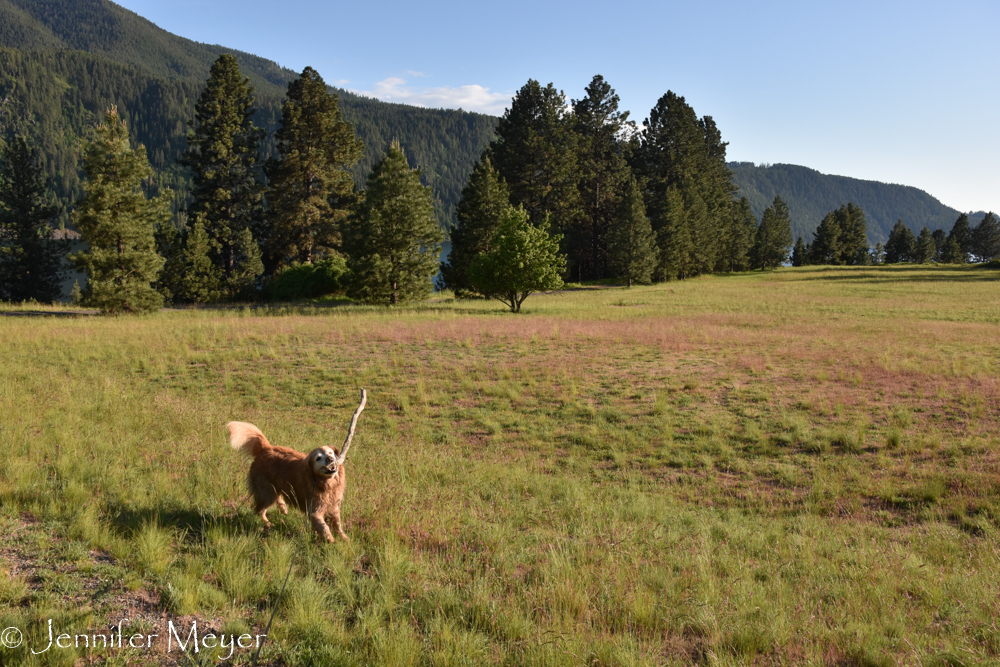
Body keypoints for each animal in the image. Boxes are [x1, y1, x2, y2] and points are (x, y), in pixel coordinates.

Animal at [227, 392, 368, 544]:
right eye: (318, 458)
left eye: (330, 453)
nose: (330, 459)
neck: (325, 484)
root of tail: (266, 448)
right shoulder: (314, 510)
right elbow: (324, 526)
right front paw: (330, 540)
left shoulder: (334, 508)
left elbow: (337, 525)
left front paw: (344, 538)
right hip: (267, 492)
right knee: (259, 509)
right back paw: (268, 523)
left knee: (275, 500)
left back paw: (283, 508)